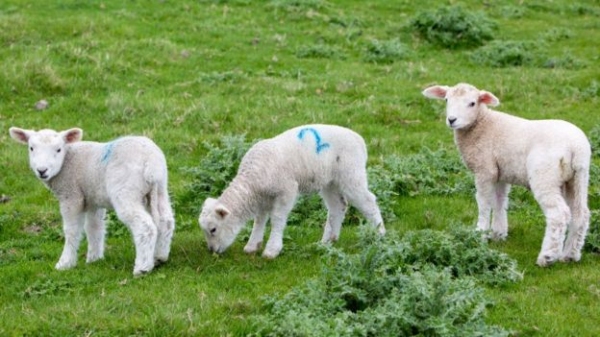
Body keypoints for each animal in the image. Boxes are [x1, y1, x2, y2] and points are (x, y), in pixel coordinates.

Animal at [8, 126, 175, 276]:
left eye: (58, 150)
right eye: (31, 148)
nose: (42, 171)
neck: (67, 160)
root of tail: (151, 164)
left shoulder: (71, 195)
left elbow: (72, 230)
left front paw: (65, 263)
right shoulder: (93, 198)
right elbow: (94, 227)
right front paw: (94, 258)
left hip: (126, 190)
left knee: (144, 226)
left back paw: (142, 267)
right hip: (160, 188)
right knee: (166, 220)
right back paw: (159, 256)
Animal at [197, 123, 384, 258]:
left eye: (213, 229)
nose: (212, 250)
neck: (252, 181)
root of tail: (359, 140)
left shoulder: (286, 190)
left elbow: (277, 219)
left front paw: (271, 250)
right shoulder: (263, 197)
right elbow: (260, 219)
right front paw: (252, 246)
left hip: (351, 172)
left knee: (368, 201)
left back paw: (380, 235)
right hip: (330, 181)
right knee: (337, 206)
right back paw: (327, 241)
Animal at [422, 82, 592, 266]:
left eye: (472, 103)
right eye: (446, 100)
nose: (452, 120)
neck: (482, 125)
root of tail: (575, 148)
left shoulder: (485, 169)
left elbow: (483, 202)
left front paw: (479, 234)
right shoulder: (500, 172)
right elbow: (499, 201)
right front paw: (498, 234)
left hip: (545, 174)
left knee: (558, 214)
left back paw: (547, 257)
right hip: (578, 177)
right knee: (580, 213)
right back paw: (570, 255)